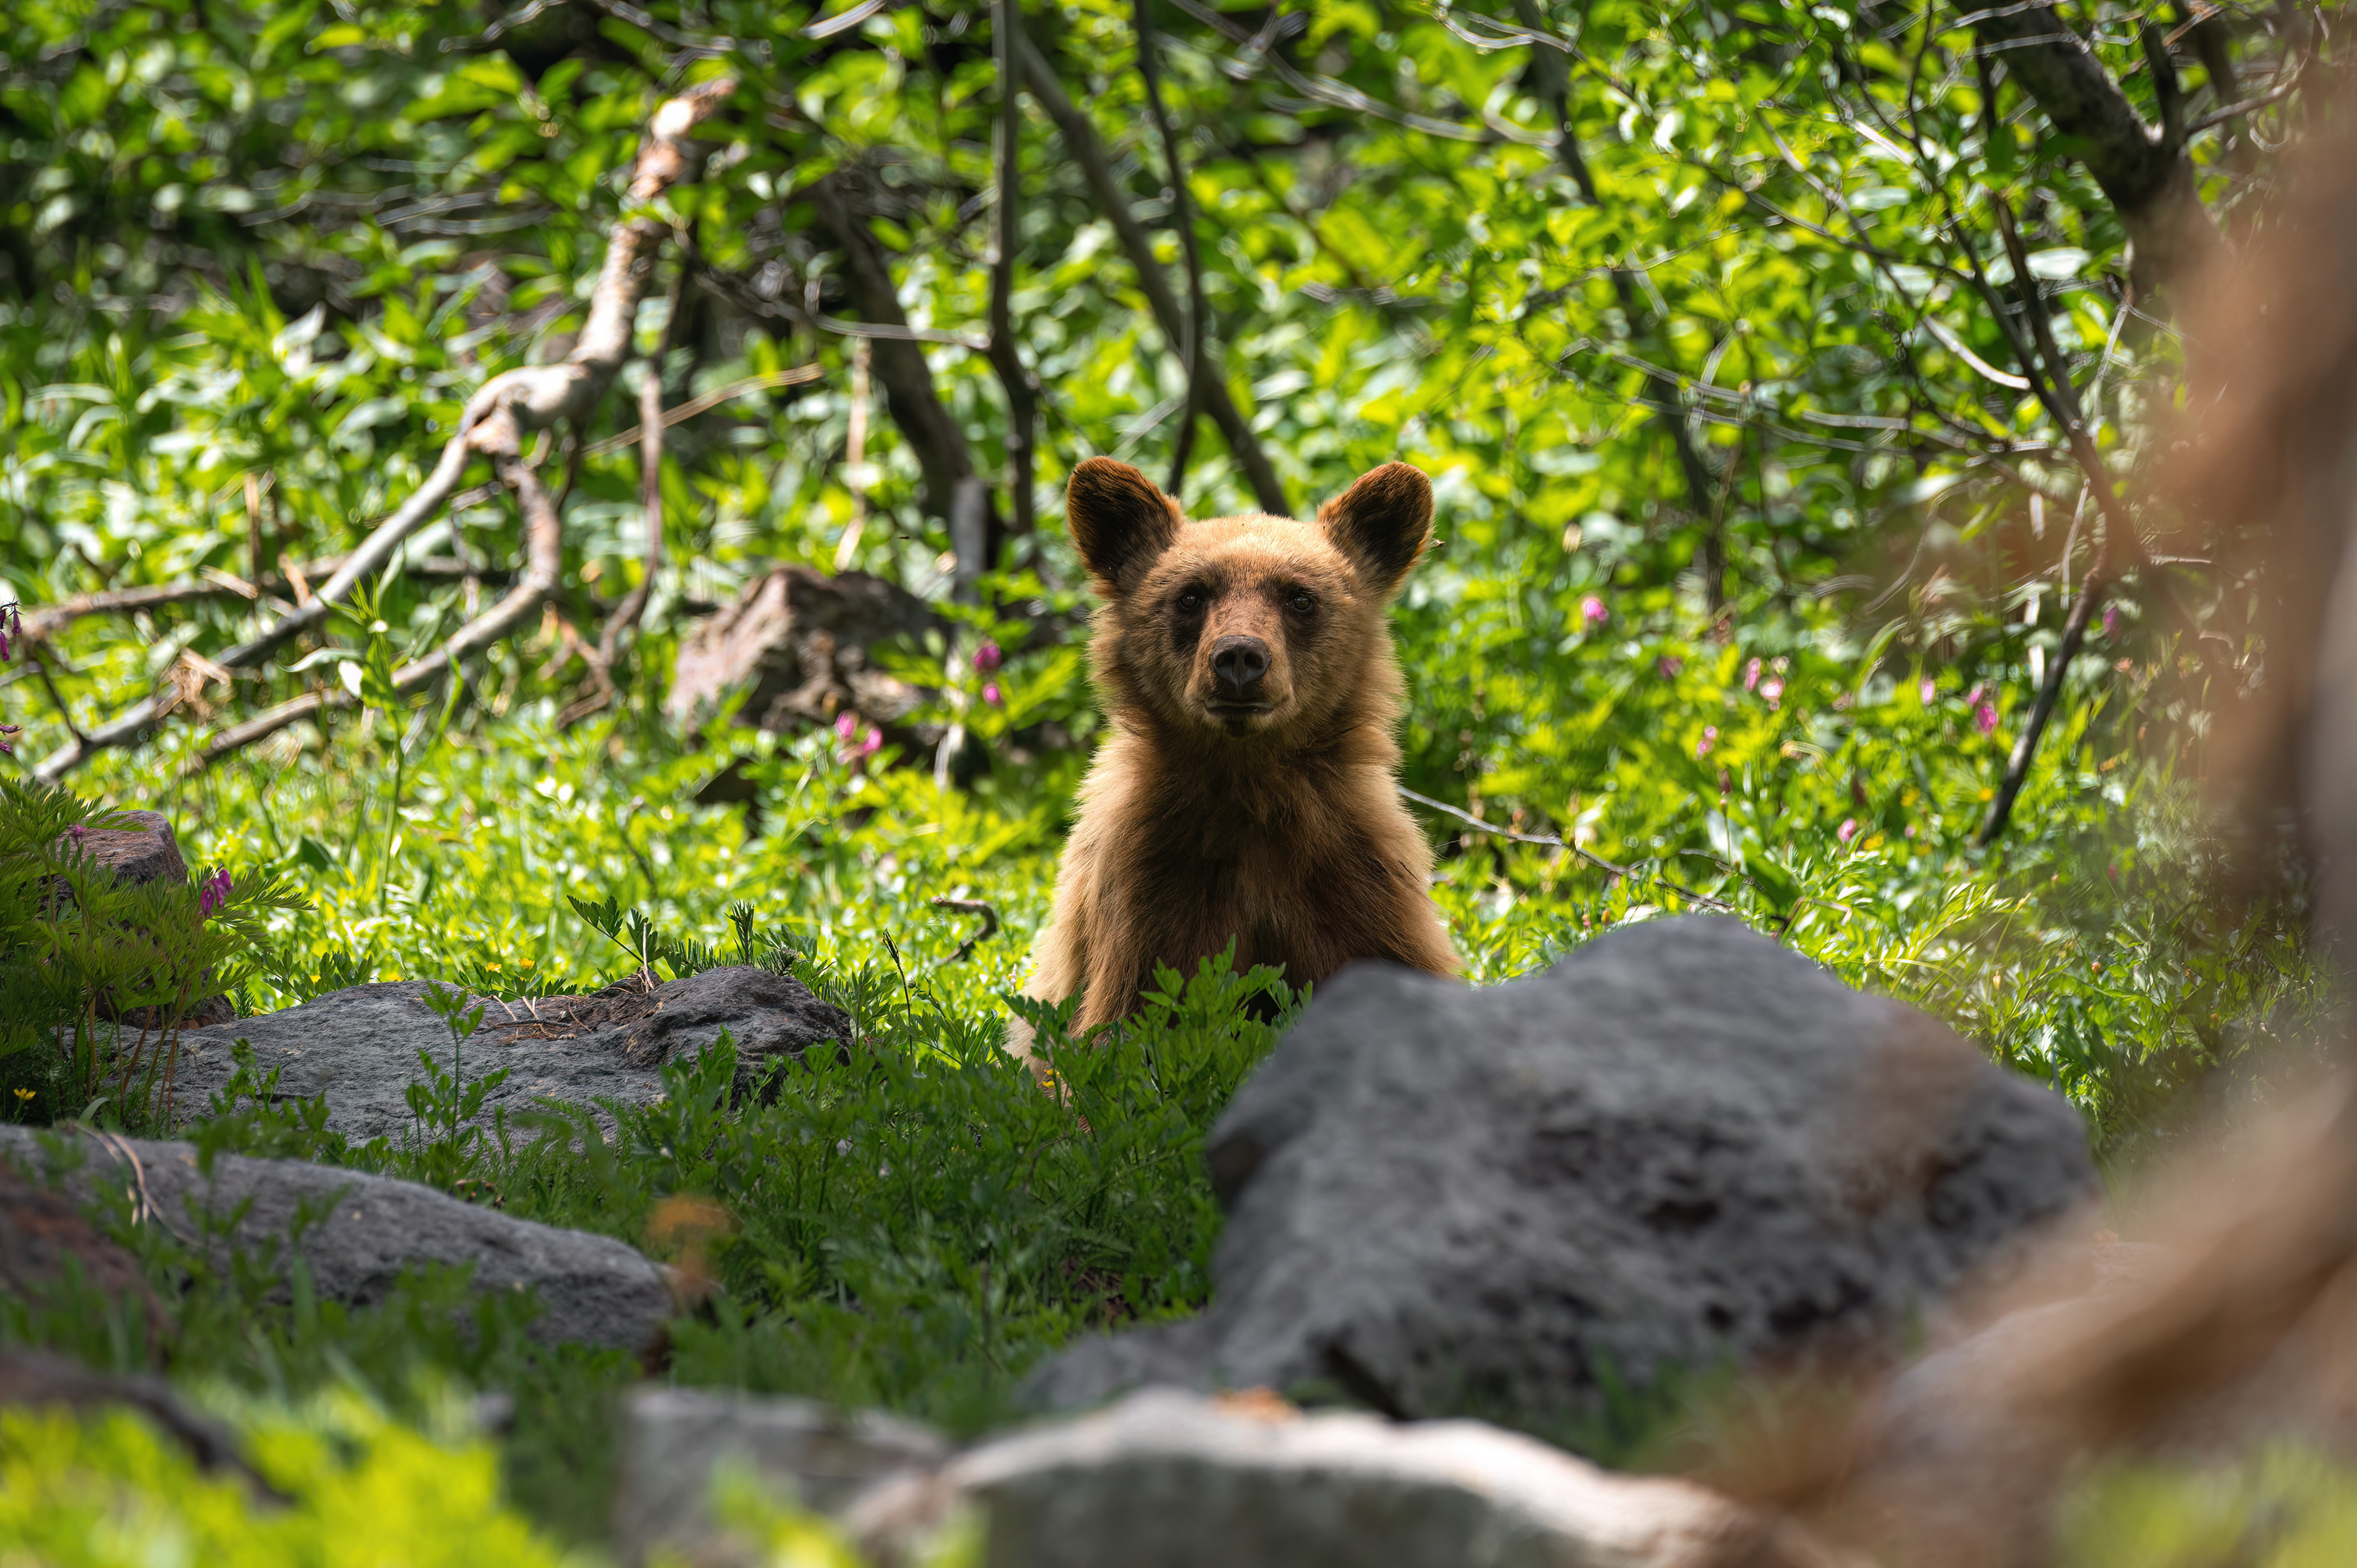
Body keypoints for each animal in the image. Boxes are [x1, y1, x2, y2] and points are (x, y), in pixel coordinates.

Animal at [1013, 454, 1451, 1051]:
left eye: (1300, 596)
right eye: (1191, 595)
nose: (1240, 657)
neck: (1248, 786)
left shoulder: (1354, 884)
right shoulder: (1150, 897)